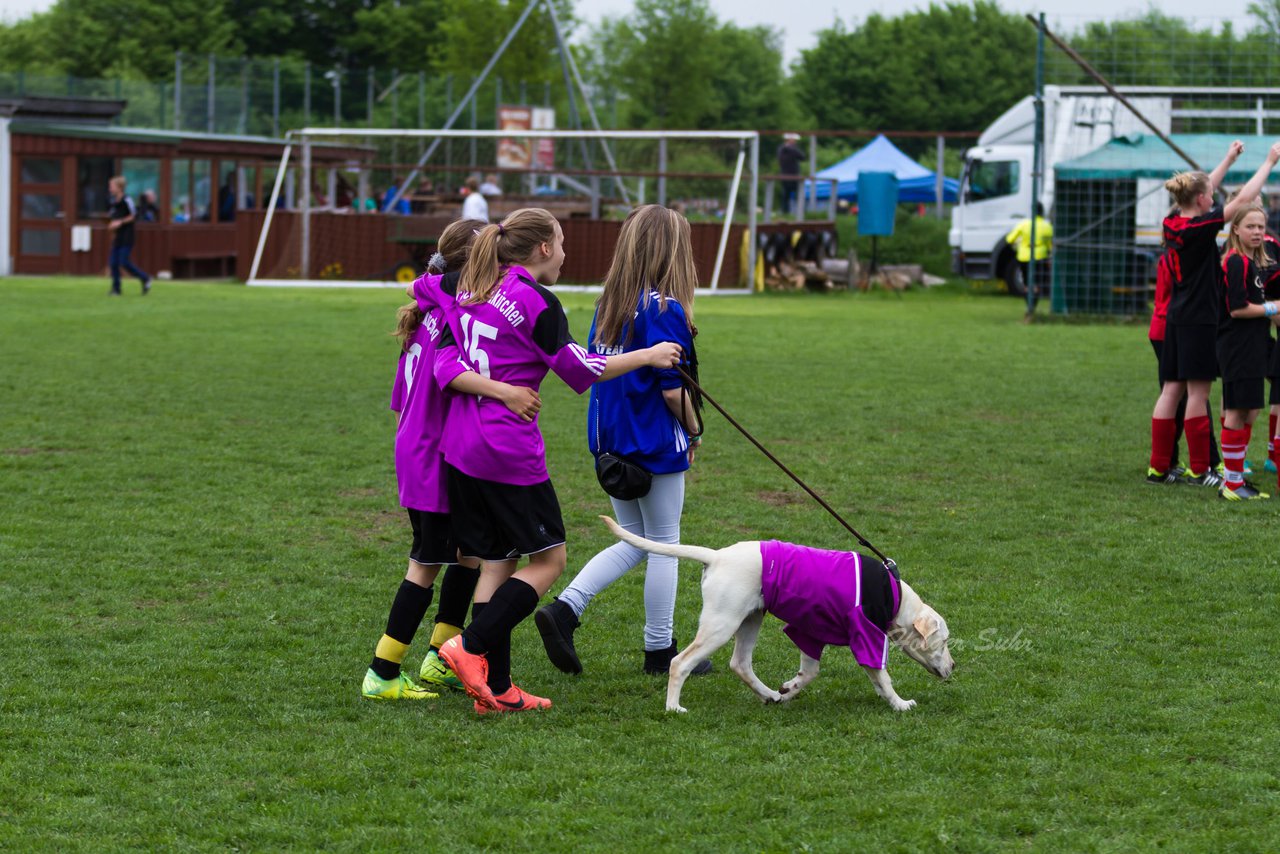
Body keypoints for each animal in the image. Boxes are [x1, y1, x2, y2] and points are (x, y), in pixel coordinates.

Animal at [599, 517, 952, 711]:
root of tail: (717, 556)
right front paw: (900, 704)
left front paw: (789, 688)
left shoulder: (810, 633)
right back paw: (673, 707)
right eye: (945, 641)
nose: (954, 667)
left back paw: (770, 695)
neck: (896, 599)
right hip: (721, 624)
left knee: (740, 664)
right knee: (680, 662)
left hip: (750, 618)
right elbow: (882, 674)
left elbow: (811, 672)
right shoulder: (865, 636)